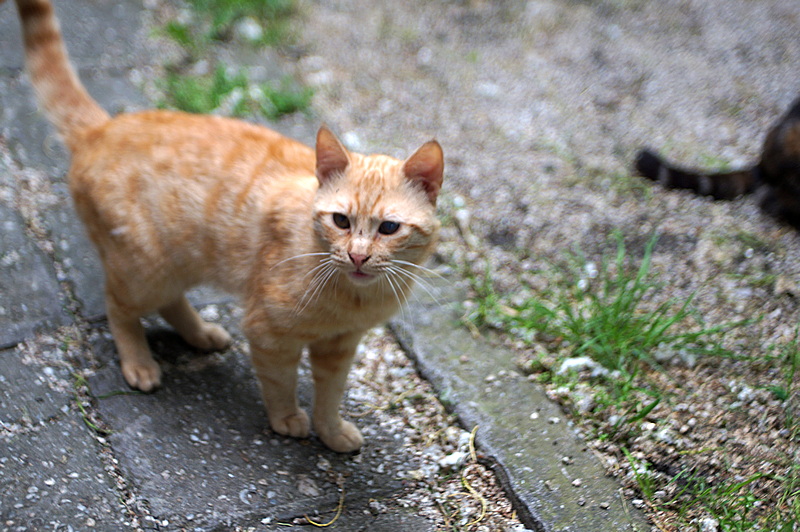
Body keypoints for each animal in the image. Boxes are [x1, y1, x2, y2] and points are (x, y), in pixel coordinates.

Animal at [7, 0, 444, 453]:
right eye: (341, 221)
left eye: (388, 228)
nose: (357, 255)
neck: (353, 299)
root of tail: (102, 128)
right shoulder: (269, 333)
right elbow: (281, 383)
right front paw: (287, 418)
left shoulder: (339, 347)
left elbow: (330, 394)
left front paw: (331, 430)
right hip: (144, 269)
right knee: (118, 306)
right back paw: (140, 363)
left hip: (174, 264)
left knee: (169, 302)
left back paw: (201, 334)